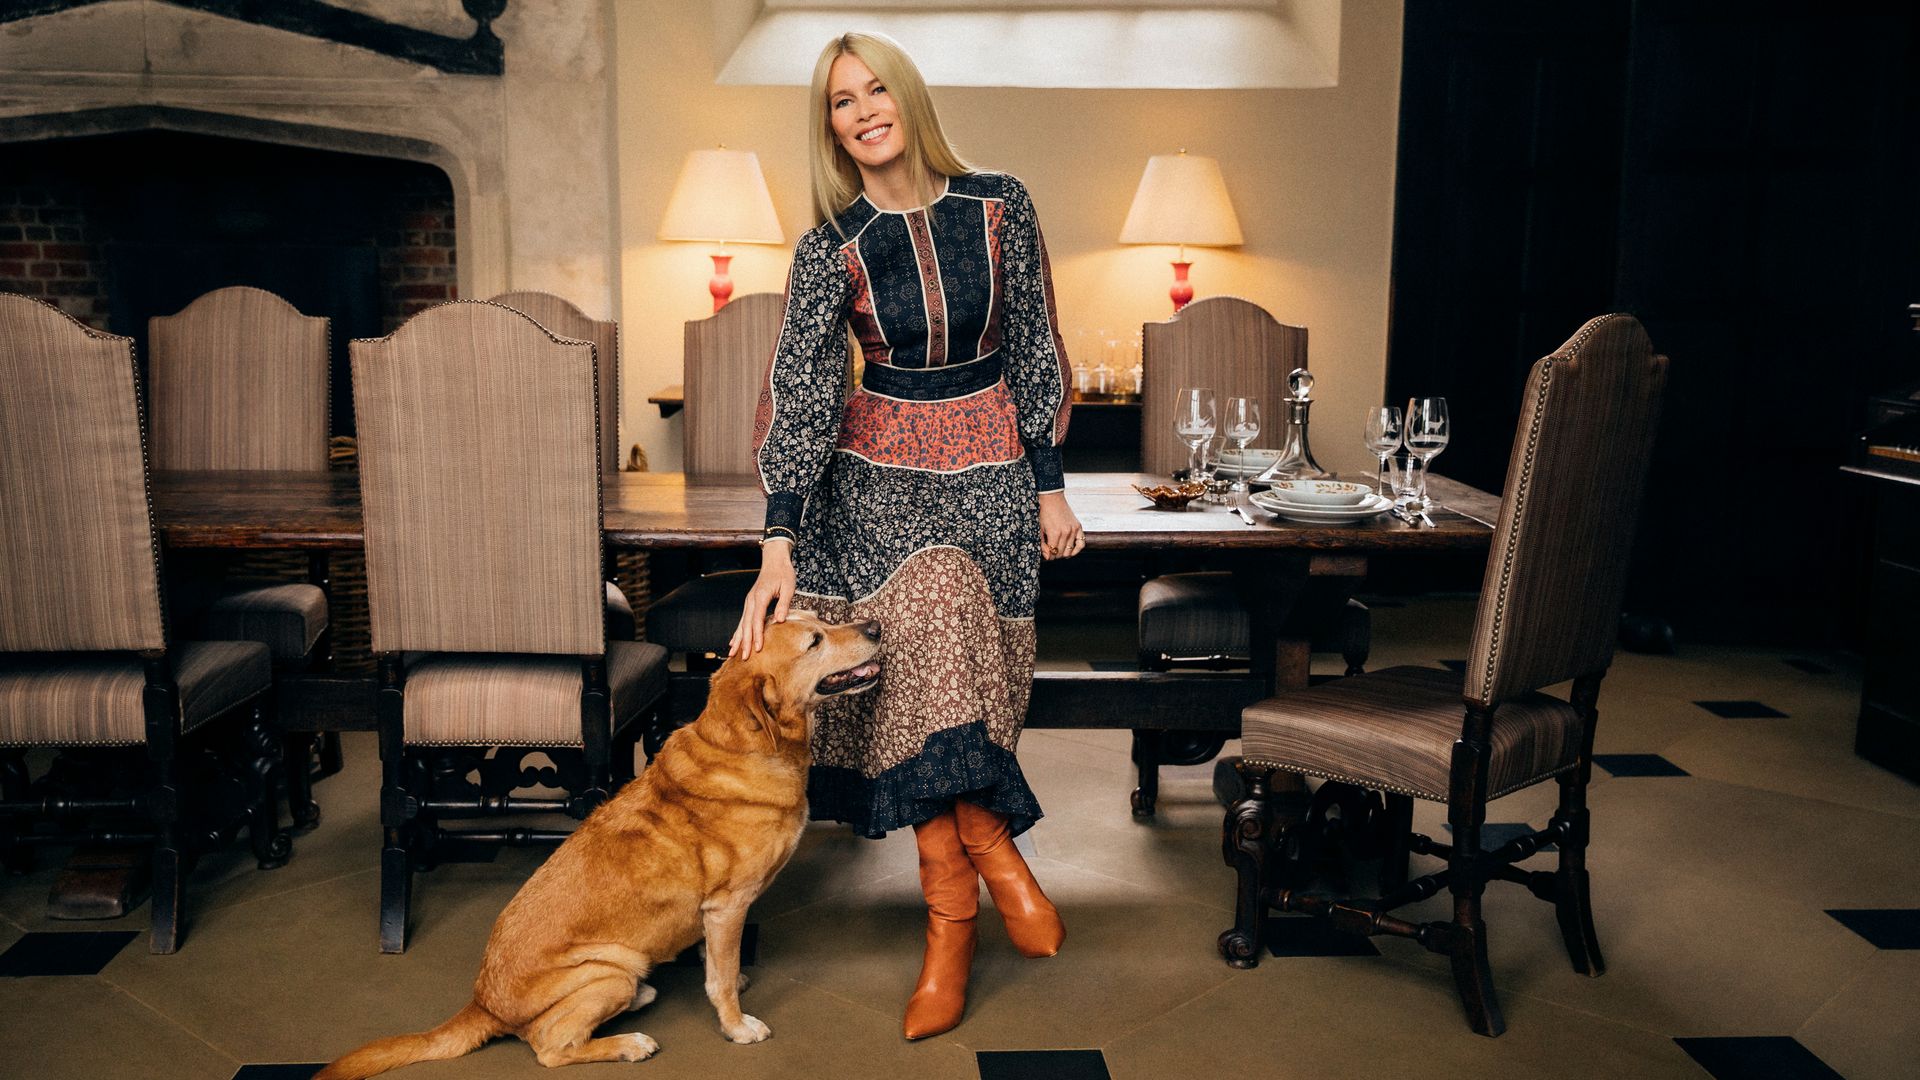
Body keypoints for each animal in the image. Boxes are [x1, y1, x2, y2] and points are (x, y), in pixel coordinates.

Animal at [316, 611, 883, 1068]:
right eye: (814, 641)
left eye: (820, 621)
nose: (876, 626)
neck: (742, 749)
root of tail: (483, 1003)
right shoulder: (727, 907)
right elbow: (720, 981)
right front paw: (737, 1025)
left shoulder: (714, 917)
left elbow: (715, 962)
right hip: (612, 970)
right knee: (549, 1048)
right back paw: (629, 1042)